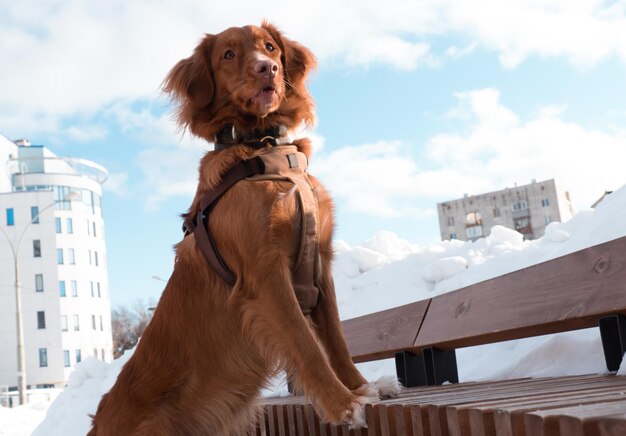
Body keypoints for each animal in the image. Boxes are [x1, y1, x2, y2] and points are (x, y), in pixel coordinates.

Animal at [89, 23, 394, 436]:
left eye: (270, 47)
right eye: (229, 55)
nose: (268, 68)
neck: (264, 147)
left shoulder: (320, 263)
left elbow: (336, 341)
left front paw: (362, 388)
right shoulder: (265, 274)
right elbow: (308, 345)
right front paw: (345, 406)